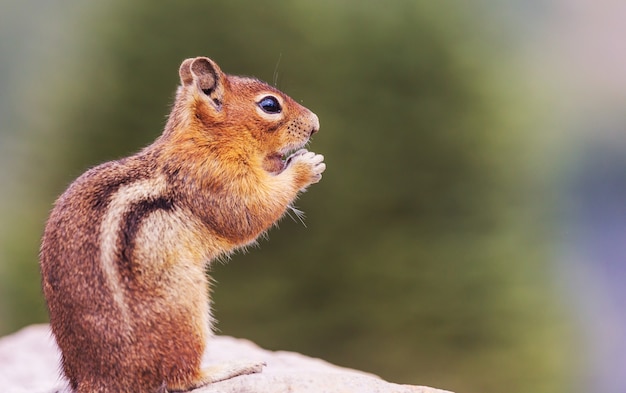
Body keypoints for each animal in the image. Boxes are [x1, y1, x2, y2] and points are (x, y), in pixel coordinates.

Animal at [39, 56, 324, 390]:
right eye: (270, 105)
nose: (315, 124)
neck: (206, 139)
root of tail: (96, 380)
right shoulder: (216, 179)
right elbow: (251, 211)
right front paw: (307, 166)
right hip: (187, 304)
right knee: (181, 378)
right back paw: (232, 367)